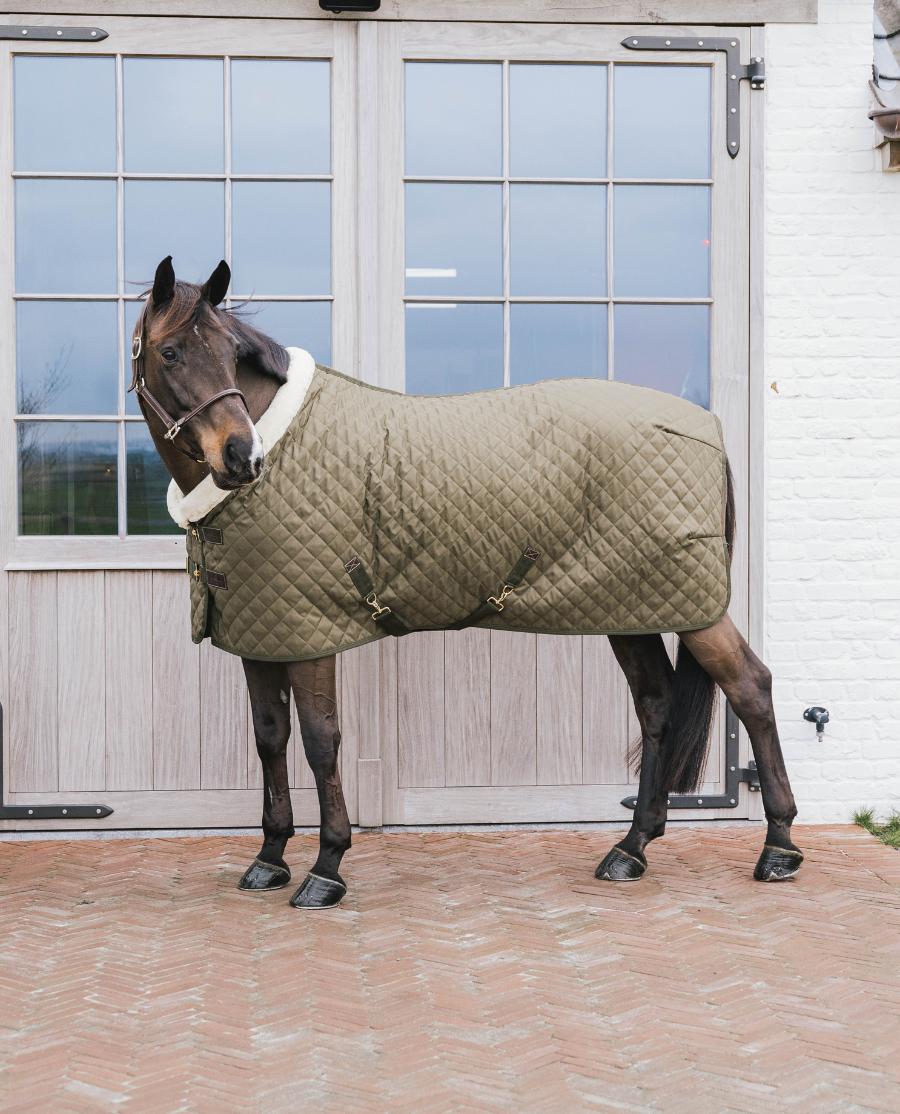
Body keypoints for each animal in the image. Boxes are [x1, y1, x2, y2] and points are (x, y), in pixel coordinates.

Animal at [132, 256, 802, 909]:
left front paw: (326, 868)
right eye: (171, 353)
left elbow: (322, 742)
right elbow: (271, 739)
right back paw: (631, 849)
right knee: (657, 705)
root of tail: (704, 426)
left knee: (751, 686)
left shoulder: (308, 633)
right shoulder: (261, 633)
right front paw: (269, 859)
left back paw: (779, 848)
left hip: (690, 608)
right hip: (630, 608)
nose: (243, 458)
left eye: (228, 352)